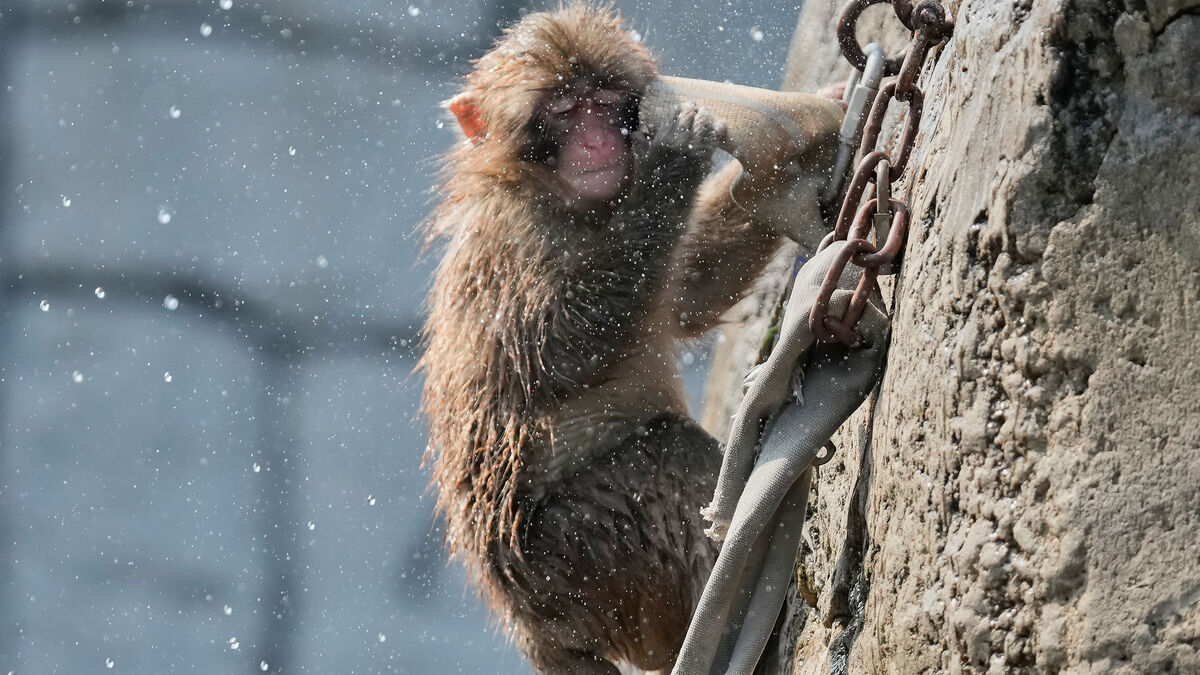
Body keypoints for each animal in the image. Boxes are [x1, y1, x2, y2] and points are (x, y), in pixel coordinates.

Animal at [419, 4, 840, 673]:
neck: (572, 205)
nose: (599, 142)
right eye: (565, 111)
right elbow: (553, 353)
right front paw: (672, 157)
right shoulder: (516, 242)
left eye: (607, 100)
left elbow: (687, 290)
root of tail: (531, 622)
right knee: (665, 457)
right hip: (580, 554)